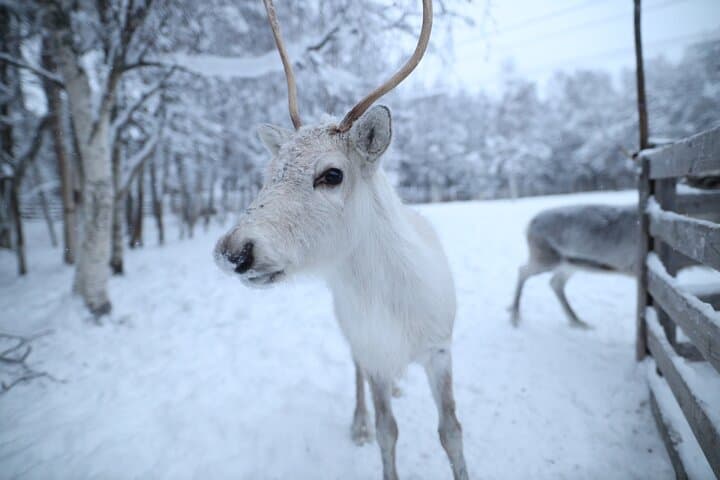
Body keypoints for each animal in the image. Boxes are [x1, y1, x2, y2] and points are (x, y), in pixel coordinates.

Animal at [213, 1, 469, 479]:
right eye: (268, 172)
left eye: (332, 174)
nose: (233, 251)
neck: (394, 310)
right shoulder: (371, 352)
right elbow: (388, 433)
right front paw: (370, 428)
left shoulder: (441, 348)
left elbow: (452, 433)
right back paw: (359, 422)